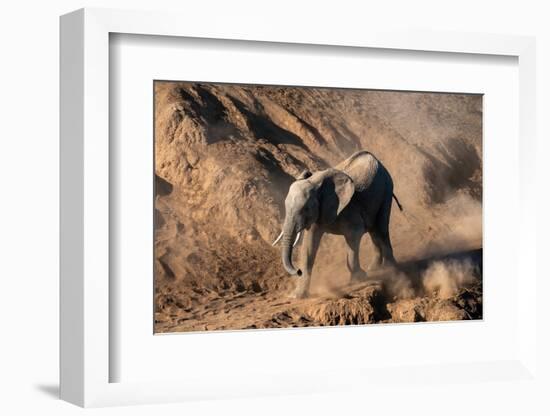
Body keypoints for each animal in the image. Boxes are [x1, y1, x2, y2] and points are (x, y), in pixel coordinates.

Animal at [274, 151, 404, 298]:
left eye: (305, 209)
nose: (298, 271)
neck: (315, 183)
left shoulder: (349, 207)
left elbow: (354, 235)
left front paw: (358, 279)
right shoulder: (320, 212)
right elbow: (309, 245)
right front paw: (298, 296)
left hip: (387, 189)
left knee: (381, 229)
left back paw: (388, 269)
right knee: (374, 231)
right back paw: (375, 269)